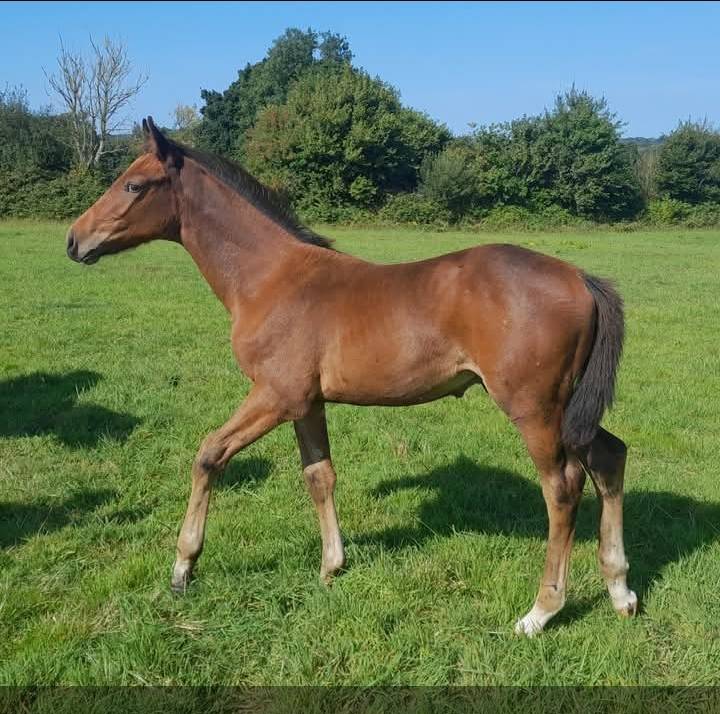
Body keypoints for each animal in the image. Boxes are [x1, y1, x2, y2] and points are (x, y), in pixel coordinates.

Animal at [66, 117, 636, 636]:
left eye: (133, 185)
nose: (74, 240)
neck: (270, 280)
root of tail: (580, 278)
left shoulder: (275, 395)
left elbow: (209, 454)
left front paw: (183, 567)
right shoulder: (307, 403)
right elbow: (319, 475)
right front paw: (331, 567)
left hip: (534, 408)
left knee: (562, 488)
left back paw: (541, 611)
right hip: (569, 408)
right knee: (609, 457)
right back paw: (620, 590)